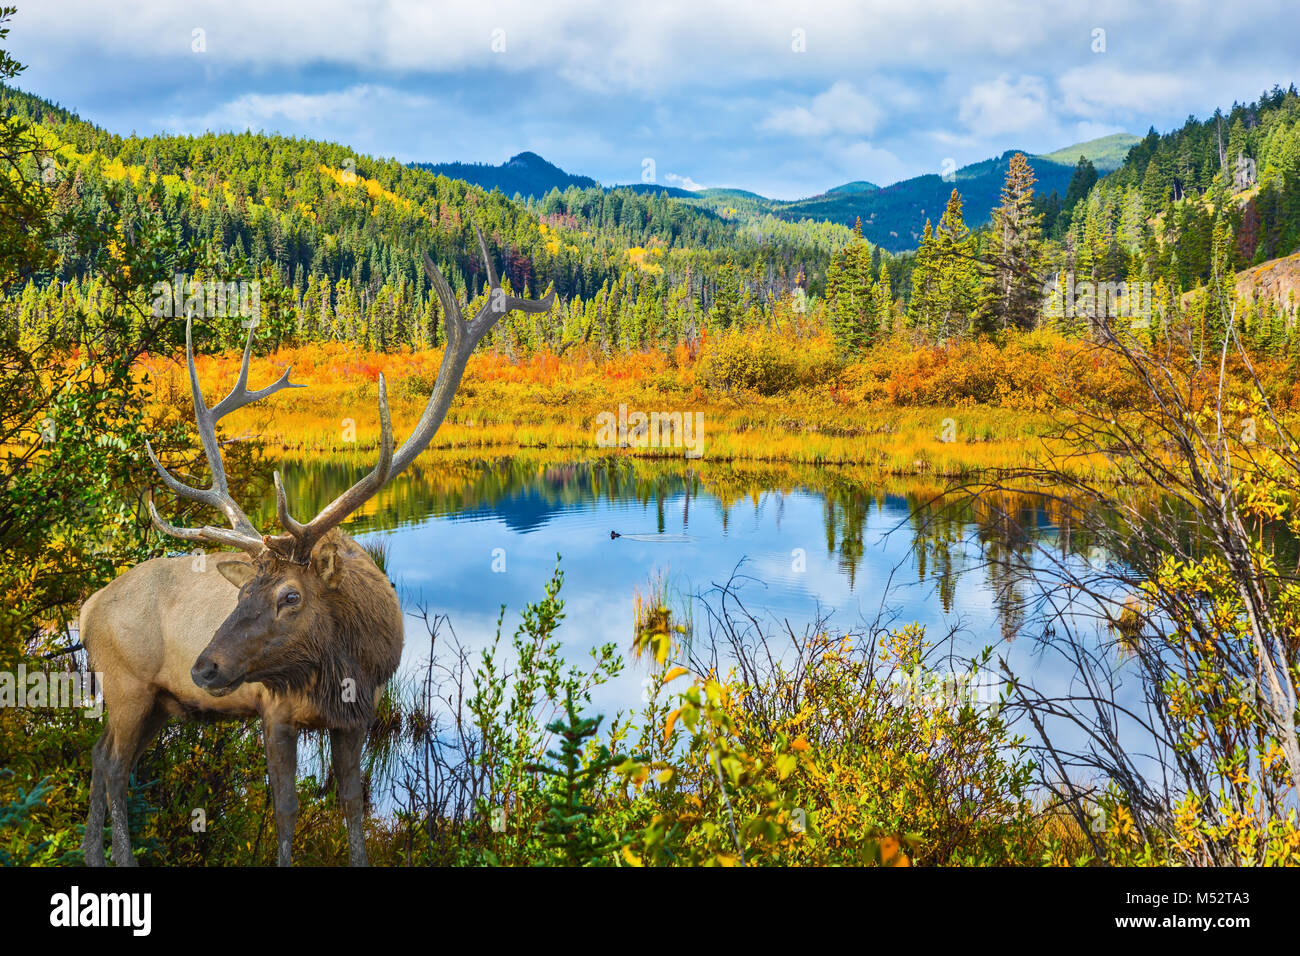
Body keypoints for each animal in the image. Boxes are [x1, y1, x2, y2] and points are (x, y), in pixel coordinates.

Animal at [76, 230, 553, 868]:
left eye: (289, 596)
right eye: (242, 594)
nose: (204, 666)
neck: (339, 664)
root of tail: (86, 611)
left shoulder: (360, 713)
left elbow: (352, 802)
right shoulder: (273, 708)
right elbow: (285, 809)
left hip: (155, 702)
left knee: (100, 758)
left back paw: (91, 854)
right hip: (127, 685)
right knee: (115, 768)